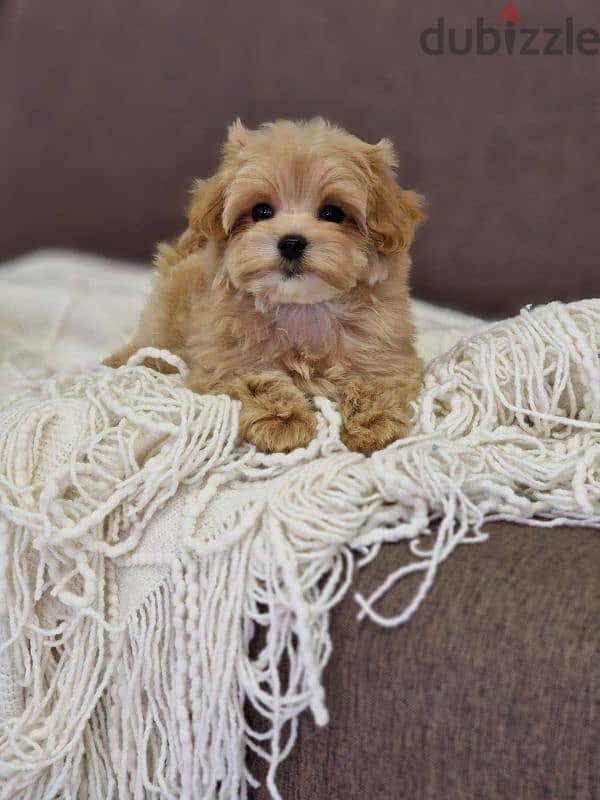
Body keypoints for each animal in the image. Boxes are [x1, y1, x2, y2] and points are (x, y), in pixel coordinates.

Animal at [108, 119, 426, 456]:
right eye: (261, 211)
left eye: (332, 213)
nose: (291, 242)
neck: (302, 307)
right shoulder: (226, 358)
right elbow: (256, 380)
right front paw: (282, 421)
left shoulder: (385, 349)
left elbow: (376, 382)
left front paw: (373, 424)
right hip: (161, 324)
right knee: (147, 342)